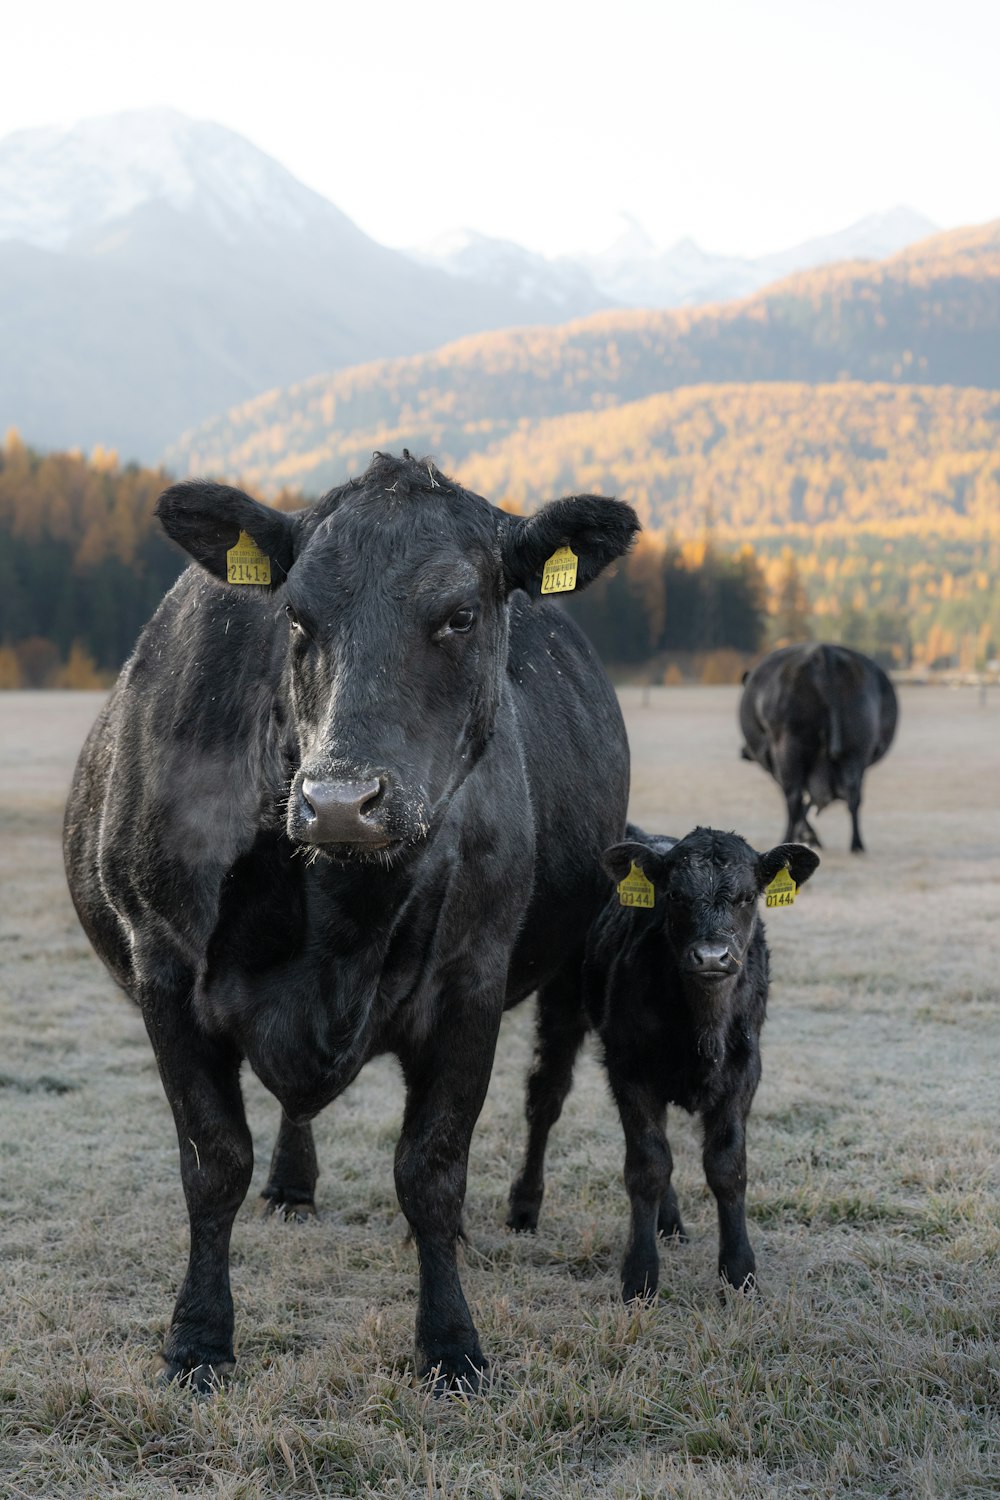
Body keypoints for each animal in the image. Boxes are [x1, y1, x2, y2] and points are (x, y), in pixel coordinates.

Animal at [64, 450, 641, 1386]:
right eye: (296, 617)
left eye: (460, 615)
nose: (340, 802)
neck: (338, 910)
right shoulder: (165, 969)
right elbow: (213, 1162)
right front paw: (198, 1338)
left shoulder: (472, 979)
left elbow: (432, 1169)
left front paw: (451, 1342)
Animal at [590, 828, 815, 1296]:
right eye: (674, 895)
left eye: (747, 897)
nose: (712, 957)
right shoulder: (628, 1070)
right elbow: (648, 1165)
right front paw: (639, 1275)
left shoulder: (744, 1073)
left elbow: (728, 1166)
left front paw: (740, 1271)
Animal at [734, 645, 899, 858]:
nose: (743, 752)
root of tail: (822, 651)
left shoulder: (775, 766)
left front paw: (808, 837)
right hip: (856, 749)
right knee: (854, 796)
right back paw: (857, 844)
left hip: (788, 748)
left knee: (794, 798)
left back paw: (784, 839)